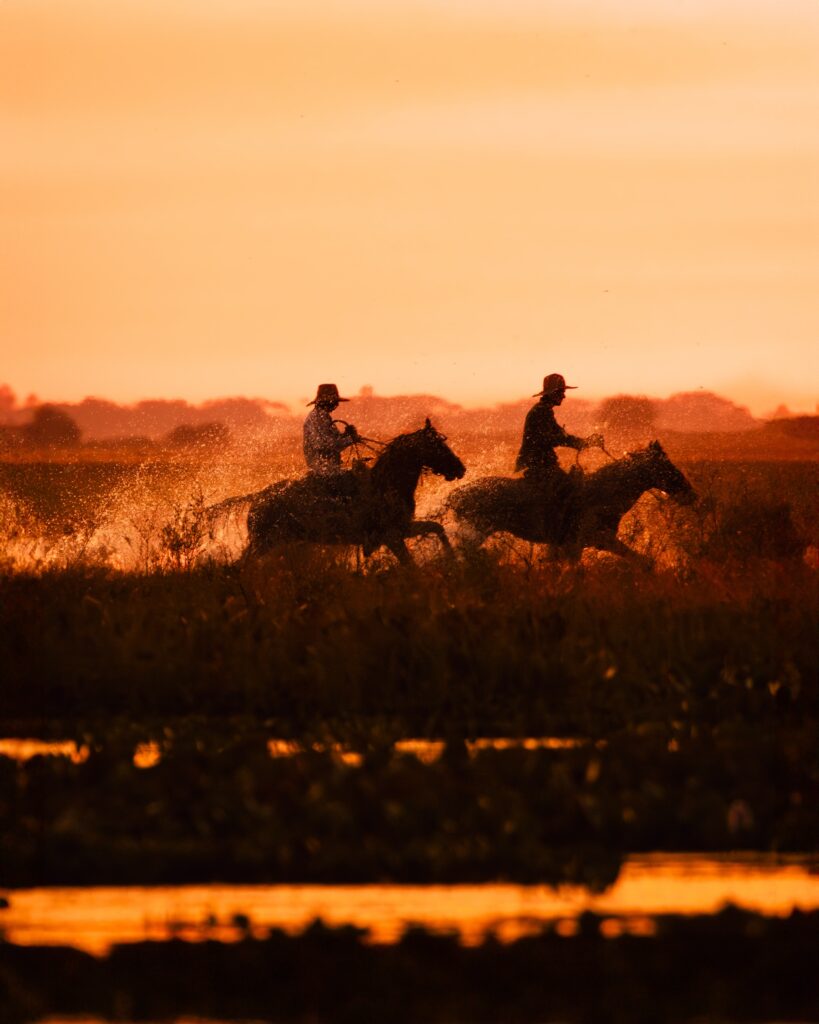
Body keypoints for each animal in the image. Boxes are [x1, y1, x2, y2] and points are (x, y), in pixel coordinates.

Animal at [241, 417, 466, 569]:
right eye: (438, 446)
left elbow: (437, 528)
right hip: (266, 541)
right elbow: (410, 564)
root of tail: (257, 499)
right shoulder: (391, 536)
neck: (386, 484)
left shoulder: (403, 529)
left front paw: (452, 558)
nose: (460, 468)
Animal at [444, 440, 696, 561]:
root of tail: (455, 495)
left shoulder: (593, 543)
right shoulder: (584, 542)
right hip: (475, 531)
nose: (691, 494)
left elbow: (644, 562)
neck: (603, 495)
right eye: (666, 466)